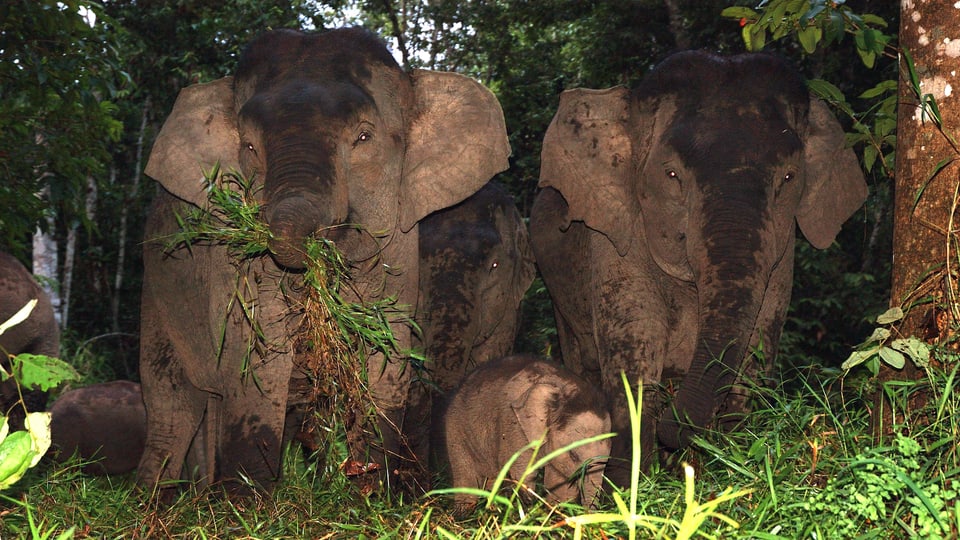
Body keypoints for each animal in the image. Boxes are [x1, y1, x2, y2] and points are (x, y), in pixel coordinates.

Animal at [137, 28, 510, 494]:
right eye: (249, 146)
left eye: (364, 138)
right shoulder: (229, 261)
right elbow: (256, 358)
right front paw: (250, 503)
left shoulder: (400, 245)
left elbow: (386, 354)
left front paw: (367, 493)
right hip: (157, 288)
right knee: (172, 403)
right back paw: (160, 499)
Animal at [438, 354, 612, 510]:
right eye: (573, 455)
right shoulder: (514, 426)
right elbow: (522, 473)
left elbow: (559, 483)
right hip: (455, 428)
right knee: (466, 475)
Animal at [532, 50, 872, 480]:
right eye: (671, 174)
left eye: (789, 177)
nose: (680, 435)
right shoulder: (614, 240)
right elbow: (635, 359)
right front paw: (629, 488)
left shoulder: (782, 256)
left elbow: (757, 350)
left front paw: (732, 466)